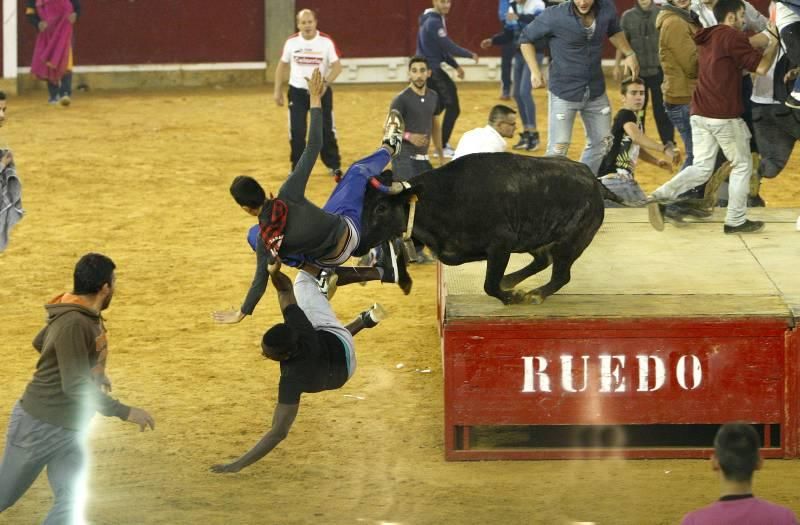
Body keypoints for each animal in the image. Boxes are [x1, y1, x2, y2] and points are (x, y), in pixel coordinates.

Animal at [354, 151, 616, 304]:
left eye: (381, 208)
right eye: (362, 203)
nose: (357, 246)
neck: (445, 198)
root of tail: (593, 180)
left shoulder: (501, 244)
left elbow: (489, 284)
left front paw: (511, 297)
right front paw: (404, 280)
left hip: (571, 242)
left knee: (561, 274)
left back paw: (534, 294)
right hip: (533, 238)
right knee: (543, 260)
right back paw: (511, 280)